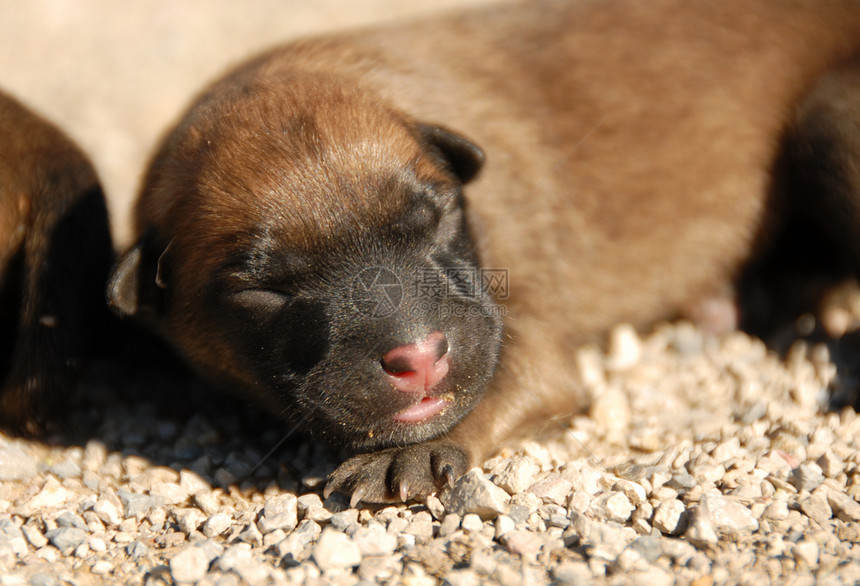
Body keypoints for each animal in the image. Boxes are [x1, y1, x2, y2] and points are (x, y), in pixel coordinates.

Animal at [107, 1, 860, 502]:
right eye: (263, 288)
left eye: (434, 219)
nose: (417, 358)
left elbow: (505, 376)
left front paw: (420, 452)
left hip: (829, 122)